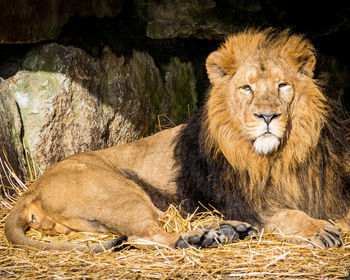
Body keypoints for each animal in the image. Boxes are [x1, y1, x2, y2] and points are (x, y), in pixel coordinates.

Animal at [3, 28, 350, 252]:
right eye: (246, 88)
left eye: (282, 85)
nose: (267, 116)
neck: (276, 158)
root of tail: (31, 188)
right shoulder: (244, 202)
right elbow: (287, 215)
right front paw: (319, 229)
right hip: (120, 193)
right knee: (145, 236)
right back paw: (199, 238)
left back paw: (225, 231)